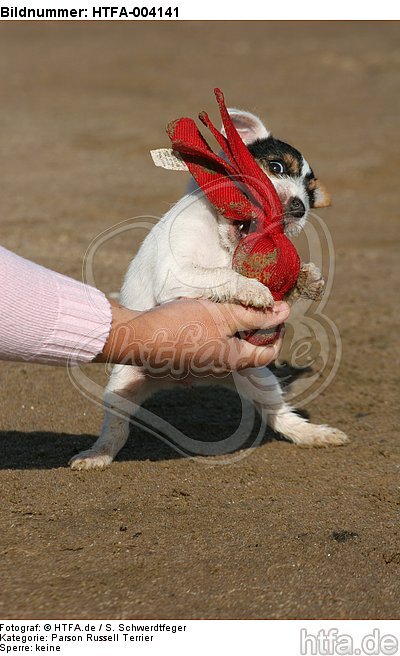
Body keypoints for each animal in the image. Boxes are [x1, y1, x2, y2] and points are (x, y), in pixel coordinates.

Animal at [70, 107, 348, 466]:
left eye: (310, 195)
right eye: (276, 167)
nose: (300, 207)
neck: (222, 242)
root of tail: (188, 378)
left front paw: (306, 278)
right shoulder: (176, 274)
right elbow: (223, 276)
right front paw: (253, 288)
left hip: (257, 377)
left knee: (277, 415)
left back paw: (313, 434)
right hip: (122, 383)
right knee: (117, 429)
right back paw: (98, 454)